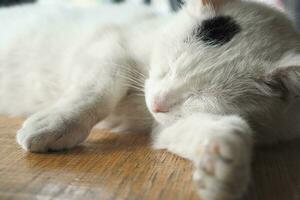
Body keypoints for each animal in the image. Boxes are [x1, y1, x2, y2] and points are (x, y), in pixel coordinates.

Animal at [0, 0, 300, 200]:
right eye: (168, 68)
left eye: (198, 98)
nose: (156, 103)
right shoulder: (109, 46)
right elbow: (99, 88)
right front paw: (56, 124)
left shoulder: (168, 125)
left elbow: (217, 129)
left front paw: (224, 167)